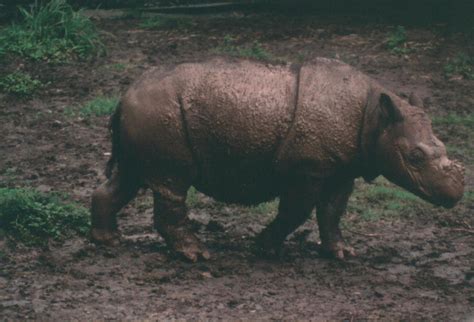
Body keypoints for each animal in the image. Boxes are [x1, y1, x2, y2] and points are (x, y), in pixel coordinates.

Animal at [90, 57, 464, 260]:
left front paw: (341, 253)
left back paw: (109, 241)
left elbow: (332, 211)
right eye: (415, 157)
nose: (455, 195)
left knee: (130, 176)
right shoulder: (308, 167)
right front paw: (264, 249)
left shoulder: (343, 167)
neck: (374, 115)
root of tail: (123, 96)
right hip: (160, 113)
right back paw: (197, 255)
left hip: (147, 114)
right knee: (171, 182)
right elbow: (296, 210)